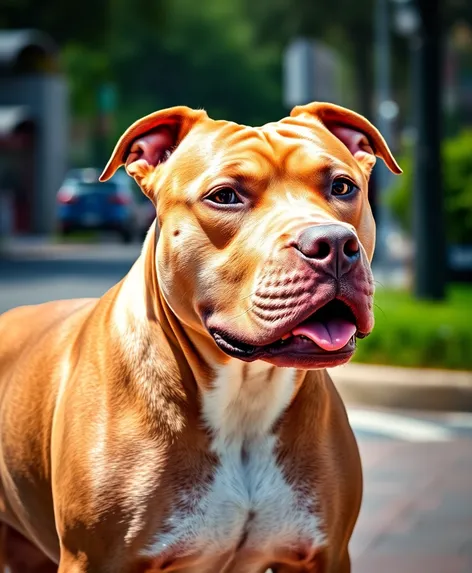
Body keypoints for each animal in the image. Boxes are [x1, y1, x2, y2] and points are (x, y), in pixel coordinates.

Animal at [0, 103, 402, 572]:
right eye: (225, 196)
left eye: (341, 186)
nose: (334, 243)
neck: (245, 397)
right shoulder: (94, 559)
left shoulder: (324, 554)